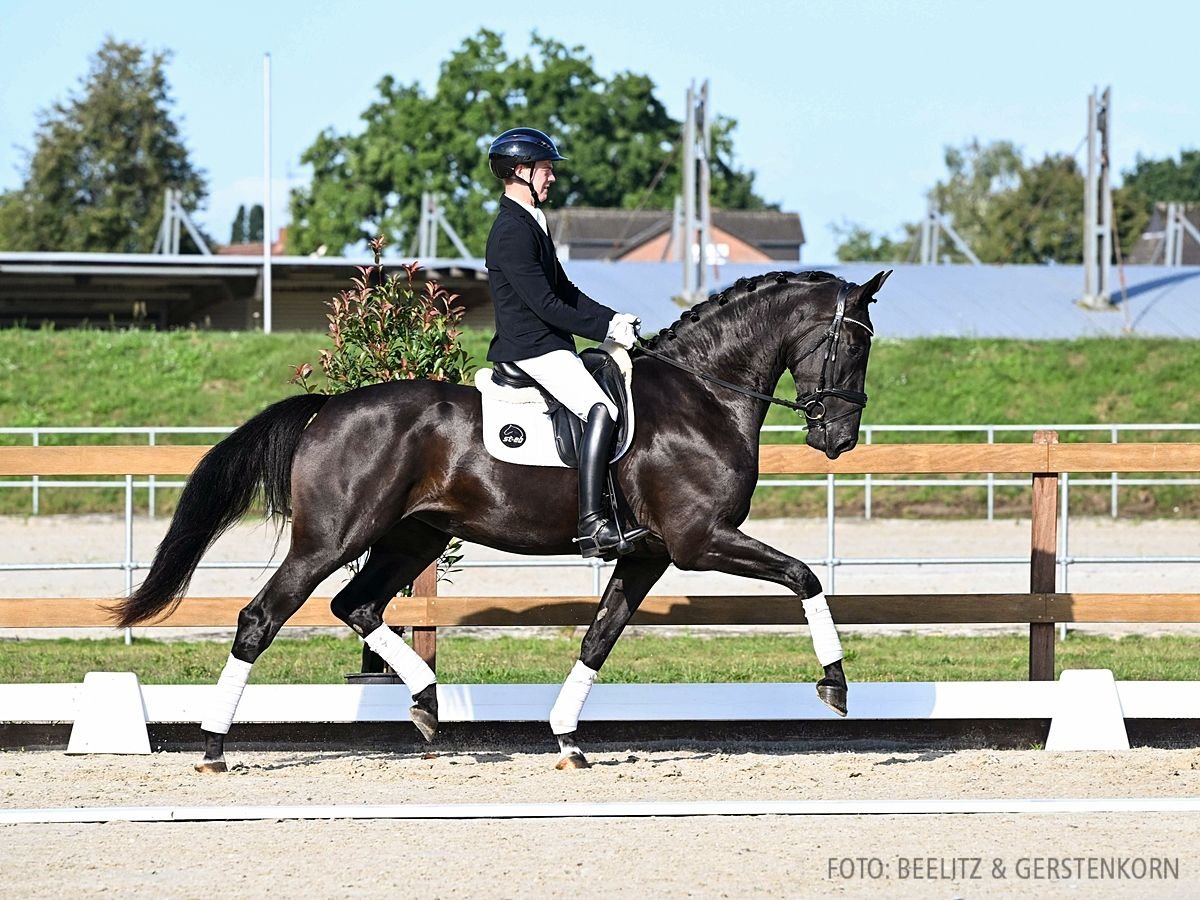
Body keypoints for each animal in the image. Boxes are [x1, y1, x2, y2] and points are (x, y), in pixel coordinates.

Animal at [108, 267, 888, 768]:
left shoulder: (649, 553)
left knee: (356, 604)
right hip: (332, 538)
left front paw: (567, 738)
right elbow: (805, 577)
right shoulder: (699, 541)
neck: (702, 396)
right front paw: (835, 684)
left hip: (414, 535)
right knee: (262, 617)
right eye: (855, 343)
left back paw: (427, 702)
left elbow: (599, 638)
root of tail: (330, 406)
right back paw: (214, 747)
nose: (839, 439)